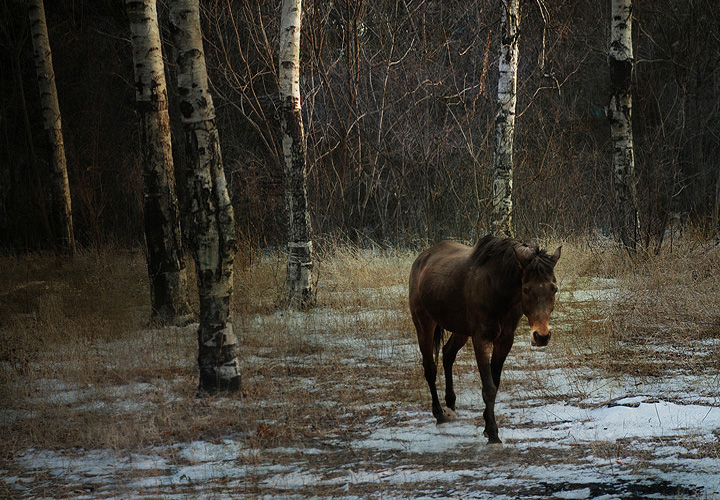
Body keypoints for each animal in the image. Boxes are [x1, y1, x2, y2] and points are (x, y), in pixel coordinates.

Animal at [408, 235, 560, 446]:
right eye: (526, 289)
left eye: (554, 288)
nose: (542, 336)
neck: (497, 289)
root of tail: (422, 259)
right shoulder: (481, 339)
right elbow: (488, 388)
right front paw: (493, 434)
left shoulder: (505, 340)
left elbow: (494, 383)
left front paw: (488, 426)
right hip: (424, 323)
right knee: (430, 368)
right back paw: (439, 414)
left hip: (460, 330)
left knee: (447, 354)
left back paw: (451, 403)